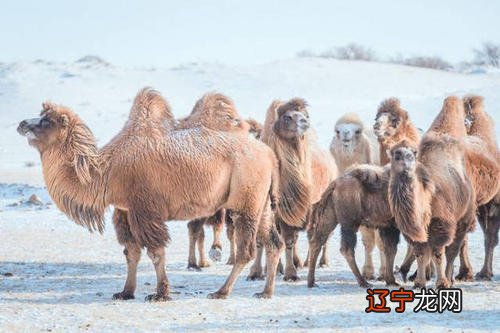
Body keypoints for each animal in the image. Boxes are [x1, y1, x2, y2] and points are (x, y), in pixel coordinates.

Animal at [17, 89, 284, 300]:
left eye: (46, 121)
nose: (21, 124)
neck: (108, 171)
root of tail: (270, 155)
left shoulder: (145, 209)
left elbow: (155, 252)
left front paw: (160, 293)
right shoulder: (124, 210)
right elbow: (131, 253)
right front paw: (125, 292)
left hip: (245, 198)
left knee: (246, 249)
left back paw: (221, 291)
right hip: (262, 203)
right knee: (273, 241)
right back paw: (266, 292)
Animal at [248, 98, 338, 280]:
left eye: (305, 115)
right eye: (287, 117)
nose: (305, 122)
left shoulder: (290, 208)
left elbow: (288, 240)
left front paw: (290, 273)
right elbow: (262, 240)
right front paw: (257, 272)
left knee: (317, 234)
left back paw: (318, 262)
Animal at [328, 113, 386, 278]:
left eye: (357, 131)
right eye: (337, 131)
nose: (346, 133)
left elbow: (381, 242)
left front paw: (384, 272)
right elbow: (368, 241)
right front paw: (368, 271)